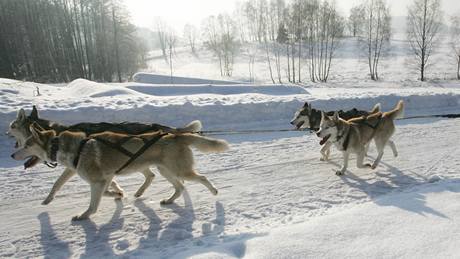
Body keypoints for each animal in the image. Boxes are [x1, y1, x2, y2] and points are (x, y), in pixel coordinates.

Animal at [7, 106, 201, 206]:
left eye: (12, 126)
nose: (11, 153)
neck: (57, 136)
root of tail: (161, 128)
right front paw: (116, 191)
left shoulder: (75, 168)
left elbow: (58, 183)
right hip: (138, 162)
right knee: (153, 175)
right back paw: (143, 191)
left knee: (160, 175)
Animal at [9, 124, 227, 221]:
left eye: (27, 145)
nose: (11, 154)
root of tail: (175, 135)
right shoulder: (100, 177)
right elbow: (58, 184)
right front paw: (118, 193)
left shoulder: (97, 181)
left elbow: (93, 204)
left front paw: (84, 215)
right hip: (166, 170)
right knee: (179, 187)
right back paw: (168, 199)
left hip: (179, 170)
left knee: (201, 178)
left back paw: (214, 191)